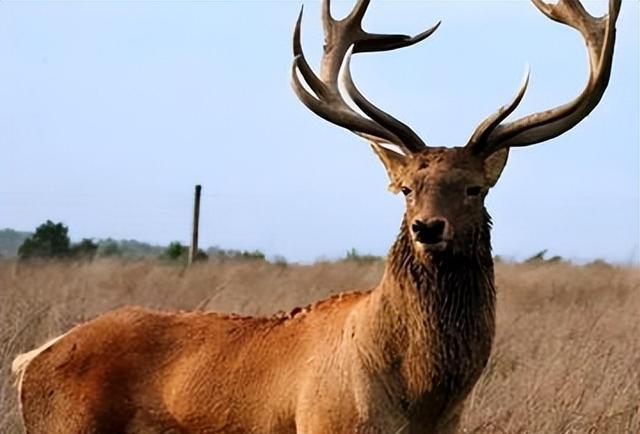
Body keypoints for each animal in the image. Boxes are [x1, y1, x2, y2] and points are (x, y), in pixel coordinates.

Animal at [13, 0, 620, 433]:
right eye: (406, 189)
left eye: (474, 188)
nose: (428, 228)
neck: (420, 402)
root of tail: (30, 360)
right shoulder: (325, 424)